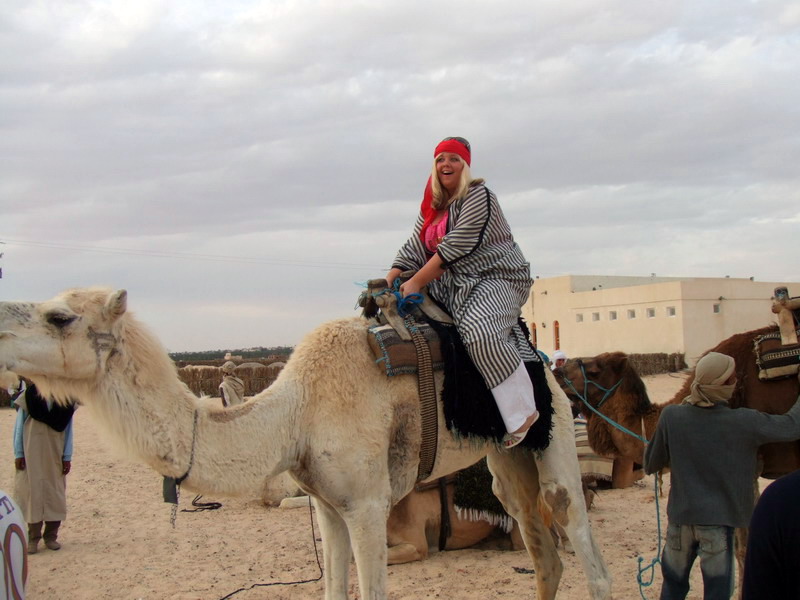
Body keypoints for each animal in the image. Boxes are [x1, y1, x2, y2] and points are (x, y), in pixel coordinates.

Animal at [0, 287, 610, 600]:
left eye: (60, 315)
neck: (294, 416)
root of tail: (541, 358)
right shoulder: (328, 507)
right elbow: (333, 590)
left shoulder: (368, 505)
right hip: (506, 460)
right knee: (543, 554)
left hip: (554, 434)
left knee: (584, 546)